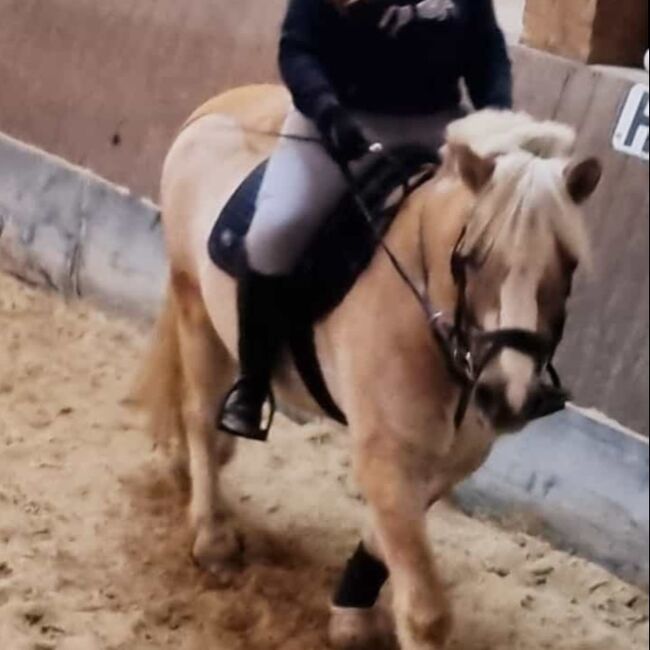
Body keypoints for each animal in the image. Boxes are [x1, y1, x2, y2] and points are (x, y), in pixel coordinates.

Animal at [138, 86, 604, 648]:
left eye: (569, 265)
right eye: (471, 258)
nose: (507, 395)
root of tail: (213, 107)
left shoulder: (449, 462)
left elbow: (384, 545)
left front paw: (351, 613)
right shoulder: (387, 455)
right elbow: (426, 611)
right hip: (195, 308)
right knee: (201, 417)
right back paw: (212, 538)